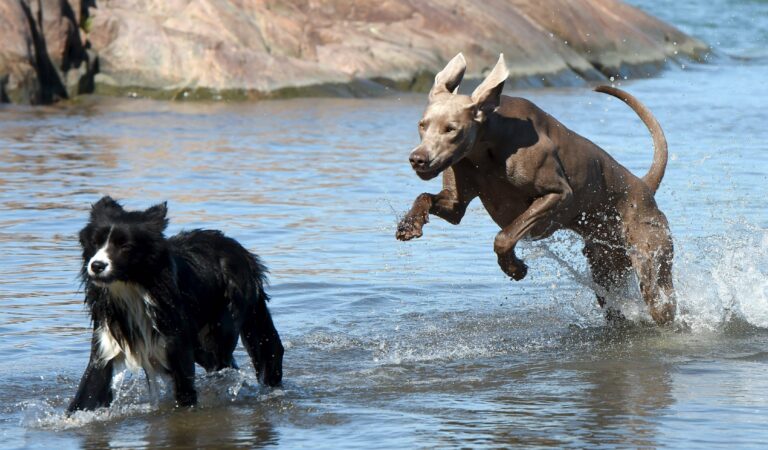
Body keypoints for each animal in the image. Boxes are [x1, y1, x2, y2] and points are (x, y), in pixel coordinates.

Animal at [67, 197, 284, 412]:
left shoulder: (176, 346)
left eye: (125, 246)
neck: (132, 288)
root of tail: (243, 253)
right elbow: (88, 391)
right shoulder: (106, 342)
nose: (96, 266)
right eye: (95, 243)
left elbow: (184, 393)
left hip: (222, 325)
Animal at [400, 54, 676, 326]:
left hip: (650, 253)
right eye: (422, 125)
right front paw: (408, 224)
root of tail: (644, 186)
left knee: (660, 300)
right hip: (605, 262)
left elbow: (504, 236)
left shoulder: (558, 195)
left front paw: (514, 268)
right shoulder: (455, 200)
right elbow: (428, 198)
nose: (418, 159)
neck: (487, 144)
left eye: (451, 128)